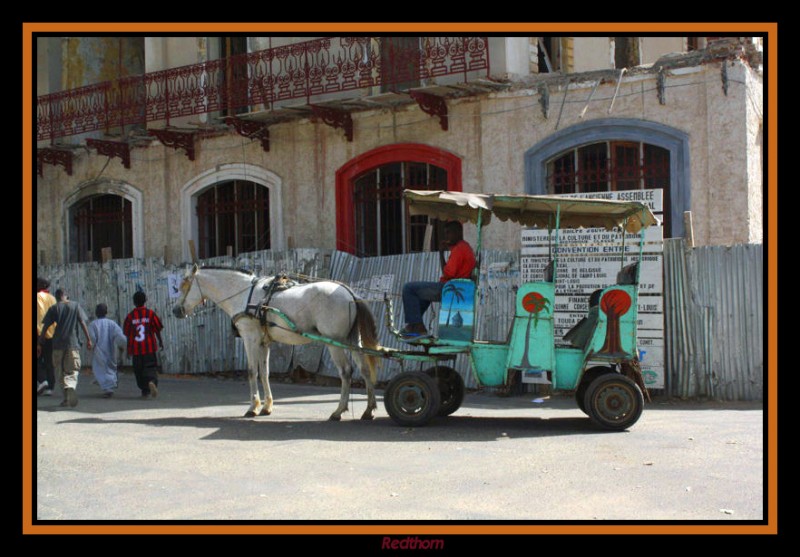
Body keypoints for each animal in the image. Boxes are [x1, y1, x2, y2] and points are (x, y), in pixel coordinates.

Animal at [173, 264, 380, 416]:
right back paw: (369, 409)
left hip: (334, 343)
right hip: (352, 341)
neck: (244, 294)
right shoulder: (264, 343)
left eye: (184, 286)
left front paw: (253, 407)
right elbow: (264, 372)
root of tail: (349, 293)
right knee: (364, 369)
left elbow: (251, 371)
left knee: (346, 372)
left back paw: (338, 411)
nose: (175, 311)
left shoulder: (250, 338)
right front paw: (266, 406)